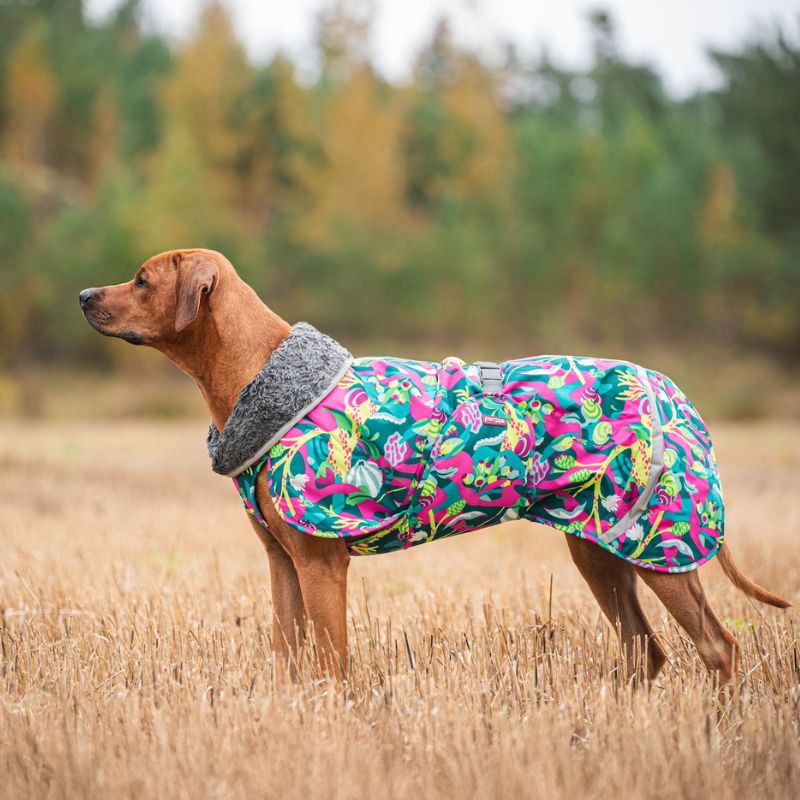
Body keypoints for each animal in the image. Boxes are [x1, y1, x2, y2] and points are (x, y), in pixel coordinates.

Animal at [78, 248, 792, 680]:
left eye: (142, 280)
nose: (84, 293)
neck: (261, 374)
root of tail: (674, 393)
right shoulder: (283, 564)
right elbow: (289, 658)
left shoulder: (320, 565)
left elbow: (333, 665)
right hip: (601, 550)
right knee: (646, 652)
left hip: (661, 544)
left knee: (719, 646)